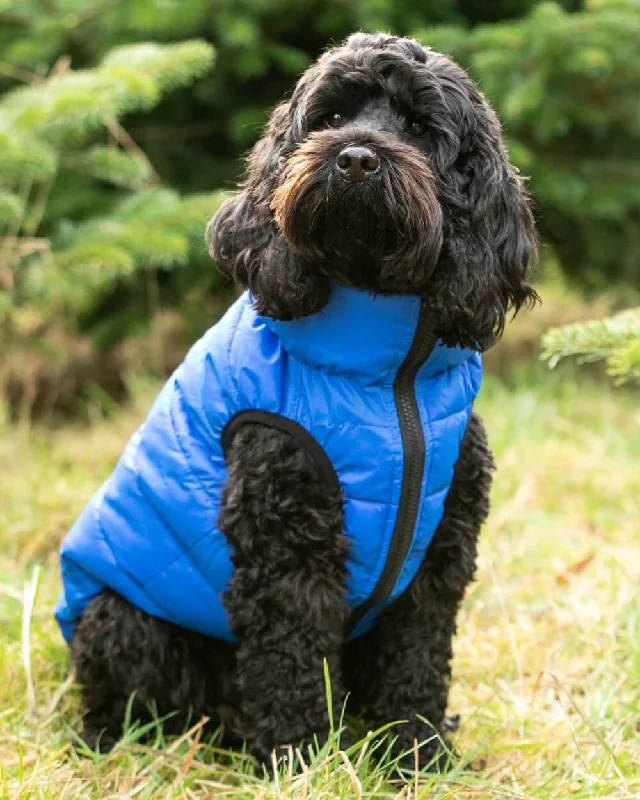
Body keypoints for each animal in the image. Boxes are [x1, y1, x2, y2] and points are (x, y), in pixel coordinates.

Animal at [72, 34, 536, 772]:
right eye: (331, 116)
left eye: (418, 127)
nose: (355, 158)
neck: (388, 382)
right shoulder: (285, 546)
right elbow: (291, 665)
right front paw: (301, 761)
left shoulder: (438, 556)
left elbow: (416, 663)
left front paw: (416, 755)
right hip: (123, 620)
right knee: (121, 700)